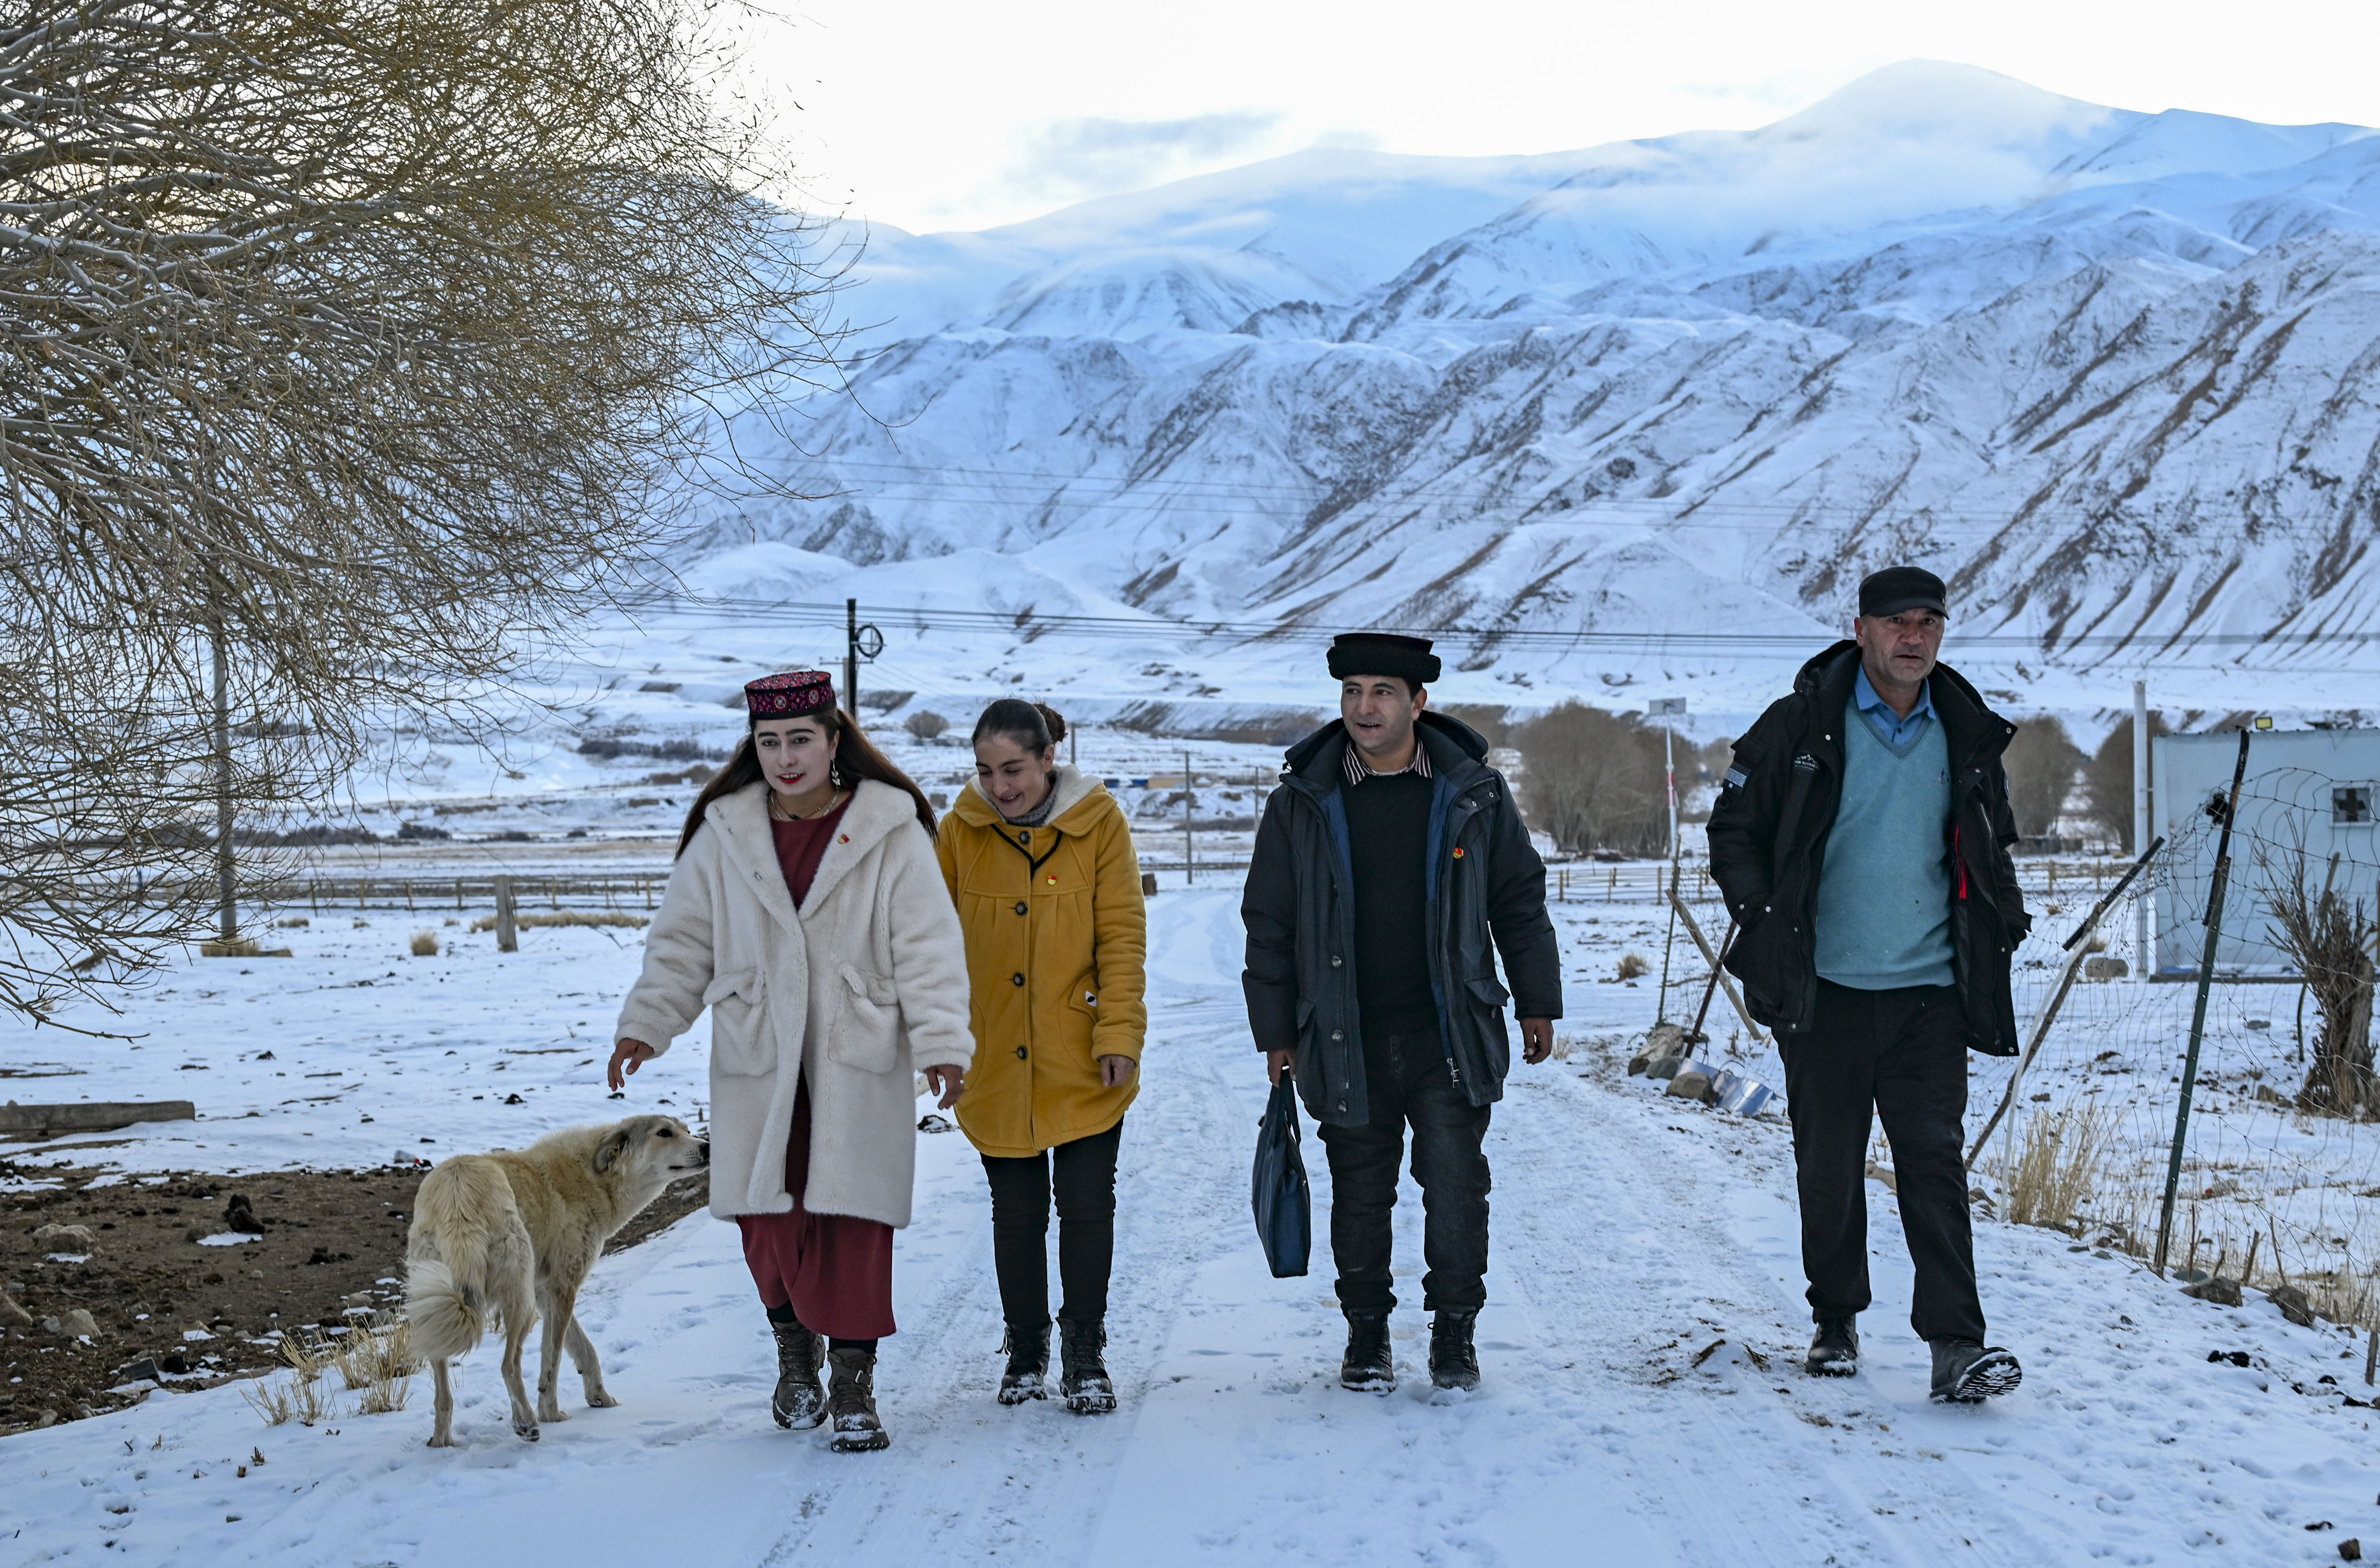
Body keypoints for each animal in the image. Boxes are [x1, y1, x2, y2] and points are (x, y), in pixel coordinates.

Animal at [404, 1114, 707, 1447]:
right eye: (664, 1133)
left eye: (688, 1130)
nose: (707, 1146)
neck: (592, 1177)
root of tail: (455, 1189)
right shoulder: (563, 1289)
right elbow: (553, 1361)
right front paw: (552, 1414)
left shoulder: (547, 1292)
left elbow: (586, 1349)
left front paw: (600, 1398)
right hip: (520, 1302)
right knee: (509, 1365)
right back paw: (527, 1423)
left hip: (437, 1305)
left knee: (444, 1395)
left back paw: (441, 1443)